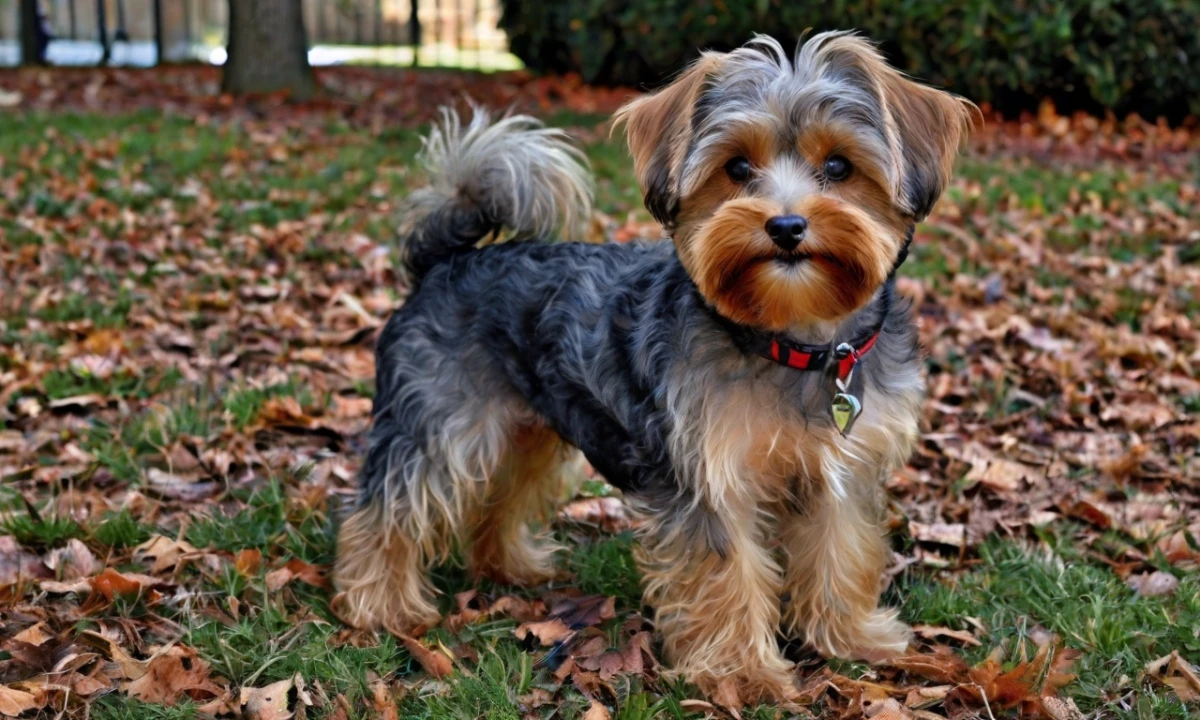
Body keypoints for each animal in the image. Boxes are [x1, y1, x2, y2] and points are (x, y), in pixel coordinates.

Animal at [334, 31, 975, 702]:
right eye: (737, 168)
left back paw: (508, 566)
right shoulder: (708, 478)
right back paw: (379, 605)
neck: (795, 341)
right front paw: (741, 673)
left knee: (499, 493)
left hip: (527, 427)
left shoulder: (842, 474)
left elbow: (840, 554)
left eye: (840, 167)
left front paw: (849, 638)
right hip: (440, 423)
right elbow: (726, 577)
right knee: (383, 510)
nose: (786, 225)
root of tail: (442, 261)